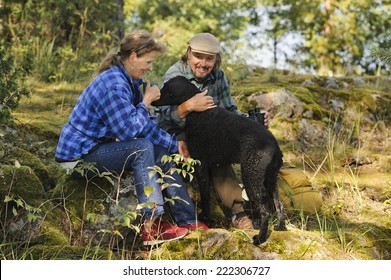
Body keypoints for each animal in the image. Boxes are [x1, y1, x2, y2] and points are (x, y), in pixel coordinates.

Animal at [154, 75, 288, 244]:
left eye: (166, 89)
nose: (154, 99)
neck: (199, 113)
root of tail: (274, 146)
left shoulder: (201, 166)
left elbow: (205, 198)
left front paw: (206, 219)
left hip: (252, 178)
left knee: (266, 212)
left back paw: (260, 238)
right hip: (270, 180)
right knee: (280, 206)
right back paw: (280, 227)